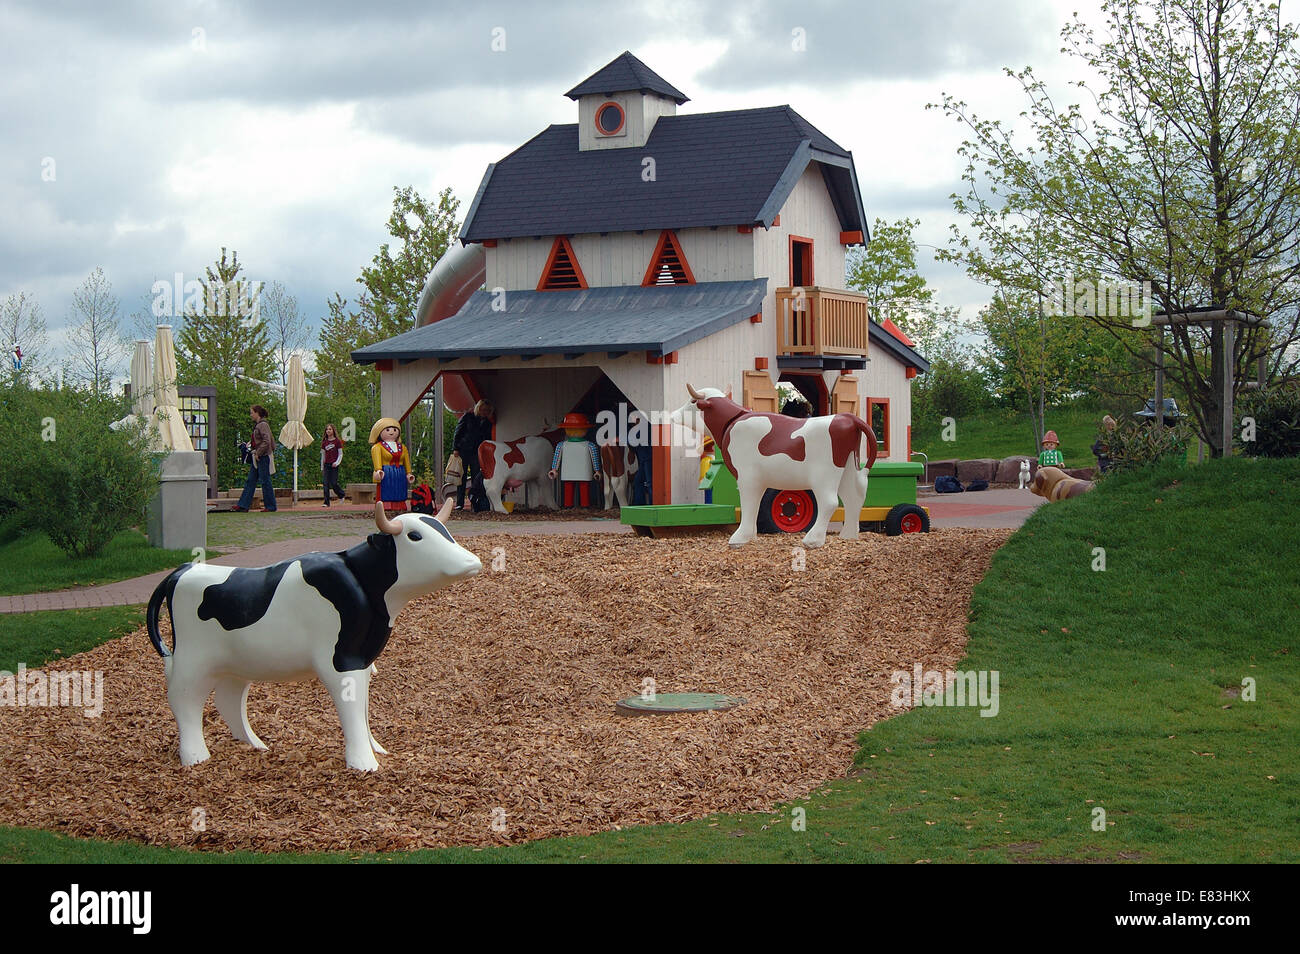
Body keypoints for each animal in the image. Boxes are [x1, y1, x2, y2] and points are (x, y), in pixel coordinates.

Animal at [146, 501, 483, 769]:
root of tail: (182, 570)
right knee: (183, 699)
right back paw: (195, 755)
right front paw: (363, 762)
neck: (363, 583)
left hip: (236, 663)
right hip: (193, 660)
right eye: (415, 535)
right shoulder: (340, 661)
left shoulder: (362, 660)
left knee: (228, 698)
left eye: (446, 531)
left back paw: (254, 744)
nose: (472, 562)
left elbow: (363, 707)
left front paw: (376, 748)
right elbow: (351, 708)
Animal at [676, 384, 878, 548]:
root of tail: (847, 418)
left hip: (824, 475)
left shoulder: (747, 476)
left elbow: (748, 503)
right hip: (848, 468)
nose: (673, 414)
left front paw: (739, 538)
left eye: (693, 401)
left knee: (830, 502)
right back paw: (848, 536)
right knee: (854, 497)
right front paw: (751, 536)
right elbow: (755, 505)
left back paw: (813, 540)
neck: (731, 424)